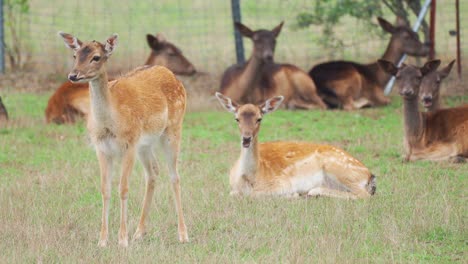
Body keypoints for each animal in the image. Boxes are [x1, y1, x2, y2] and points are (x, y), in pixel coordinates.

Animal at [59, 32, 188, 246]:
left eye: (96, 57)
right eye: (75, 55)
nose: (73, 75)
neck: (111, 122)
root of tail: (171, 74)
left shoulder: (129, 143)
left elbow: (123, 188)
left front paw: (122, 240)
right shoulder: (101, 148)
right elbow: (105, 189)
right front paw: (103, 240)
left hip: (172, 129)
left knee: (175, 176)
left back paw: (182, 234)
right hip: (145, 144)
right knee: (153, 172)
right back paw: (139, 232)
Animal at [216, 93, 376, 198]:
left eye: (259, 118)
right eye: (237, 119)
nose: (246, 139)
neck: (250, 179)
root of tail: (369, 175)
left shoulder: (281, 184)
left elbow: (256, 195)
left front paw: (292, 195)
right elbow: (233, 193)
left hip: (340, 169)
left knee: (364, 195)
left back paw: (312, 192)